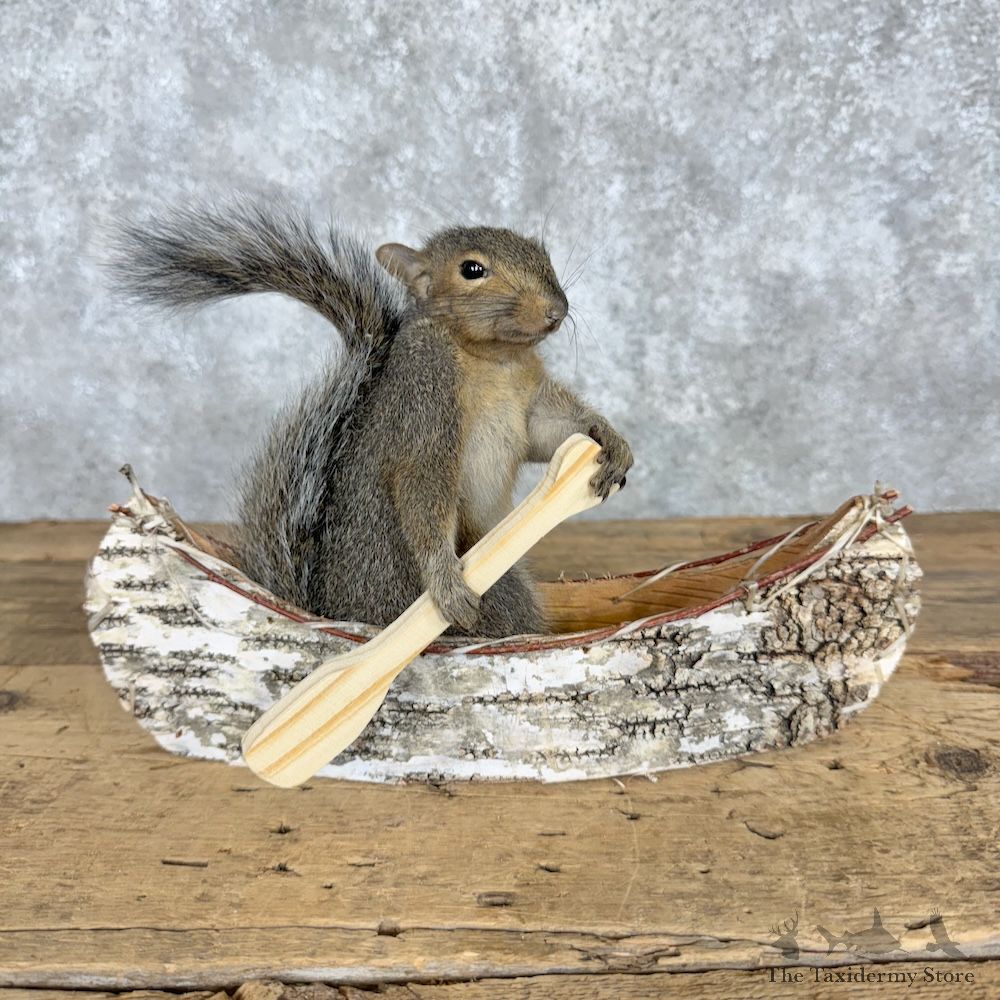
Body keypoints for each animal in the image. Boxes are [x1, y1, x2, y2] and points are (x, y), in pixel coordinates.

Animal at [110, 198, 633, 637]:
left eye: (541, 252)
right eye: (472, 269)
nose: (556, 310)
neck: (493, 359)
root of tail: (330, 610)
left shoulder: (528, 404)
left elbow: (548, 433)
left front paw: (610, 440)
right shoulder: (422, 395)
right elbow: (421, 484)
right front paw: (444, 583)